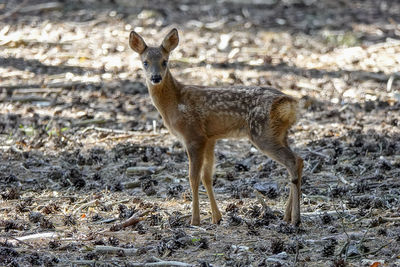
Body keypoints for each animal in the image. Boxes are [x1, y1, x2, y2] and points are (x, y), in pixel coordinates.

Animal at [128, 28, 304, 226]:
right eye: (145, 62)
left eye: (165, 61)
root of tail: (290, 104)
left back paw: (296, 218)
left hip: (262, 133)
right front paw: (216, 217)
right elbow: (207, 176)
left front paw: (195, 220)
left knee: (293, 161)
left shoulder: (193, 135)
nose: (156, 78)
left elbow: (193, 177)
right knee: (297, 161)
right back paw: (287, 215)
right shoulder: (210, 138)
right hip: (280, 134)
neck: (174, 103)